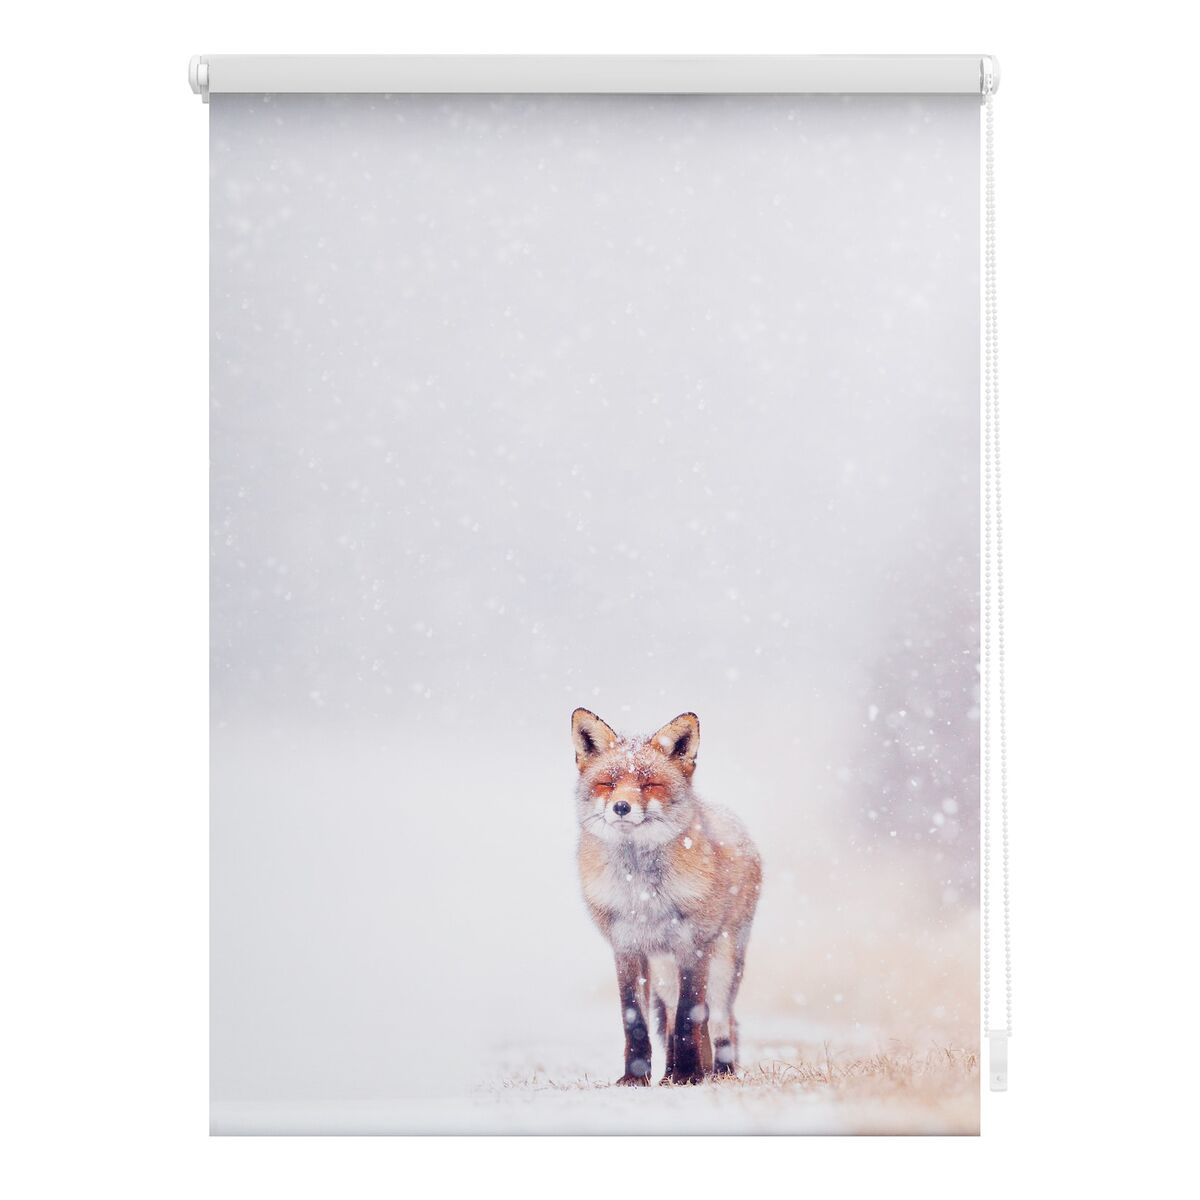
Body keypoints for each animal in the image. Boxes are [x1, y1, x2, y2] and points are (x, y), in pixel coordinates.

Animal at [572, 707, 762, 1086]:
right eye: (608, 783)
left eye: (649, 785)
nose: (621, 806)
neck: (642, 894)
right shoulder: (626, 947)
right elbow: (636, 1019)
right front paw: (635, 1078)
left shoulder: (693, 945)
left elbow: (691, 1016)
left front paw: (690, 1075)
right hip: (662, 969)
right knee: (673, 1017)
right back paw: (670, 1073)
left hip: (723, 962)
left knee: (721, 1020)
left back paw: (718, 1072)